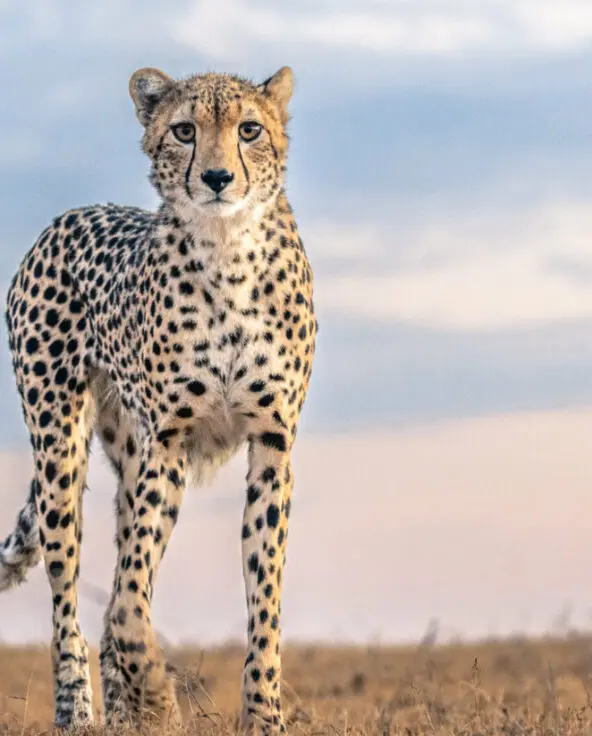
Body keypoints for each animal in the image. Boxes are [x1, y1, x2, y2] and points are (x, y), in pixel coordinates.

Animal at [0, 64, 316, 734]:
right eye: (184, 130)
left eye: (250, 130)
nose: (218, 178)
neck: (227, 250)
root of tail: (69, 215)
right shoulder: (166, 443)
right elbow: (128, 602)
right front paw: (157, 693)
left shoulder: (272, 445)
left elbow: (264, 595)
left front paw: (263, 713)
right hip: (61, 452)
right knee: (70, 598)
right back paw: (80, 709)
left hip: (126, 457)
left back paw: (123, 712)